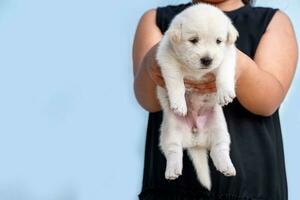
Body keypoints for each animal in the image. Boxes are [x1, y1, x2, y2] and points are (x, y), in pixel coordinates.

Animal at [156, 3, 238, 191]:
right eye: (193, 40)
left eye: (218, 41)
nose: (207, 60)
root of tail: (196, 141)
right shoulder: (167, 59)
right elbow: (176, 82)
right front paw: (179, 103)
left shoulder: (228, 56)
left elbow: (224, 73)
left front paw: (225, 92)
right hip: (170, 132)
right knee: (173, 151)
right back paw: (173, 169)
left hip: (220, 130)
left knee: (219, 150)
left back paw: (226, 166)